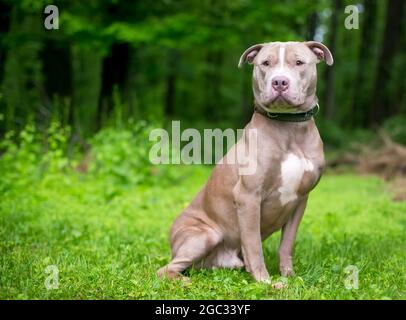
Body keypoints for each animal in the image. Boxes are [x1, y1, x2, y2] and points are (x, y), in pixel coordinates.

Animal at [158, 40, 334, 282]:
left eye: (299, 62)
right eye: (265, 63)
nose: (279, 82)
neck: (289, 127)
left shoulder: (300, 200)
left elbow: (287, 244)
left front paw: (289, 276)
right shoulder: (248, 196)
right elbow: (253, 244)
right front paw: (265, 281)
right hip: (204, 235)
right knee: (165, 269)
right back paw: (184, 282)